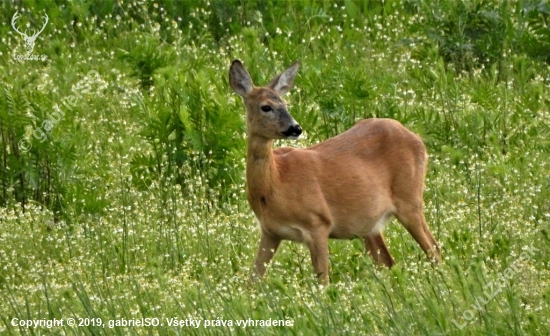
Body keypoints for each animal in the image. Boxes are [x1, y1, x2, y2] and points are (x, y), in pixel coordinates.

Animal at [230, 58, 444, 284]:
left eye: (286, 104)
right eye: (266, 107)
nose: (295, 128)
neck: (275, 184)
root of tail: (416, 137)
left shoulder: (318, 222)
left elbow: (323, 281)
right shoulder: (270, 231)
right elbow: (253, 280)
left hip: (410, 199)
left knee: (434, 248)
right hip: (369, 224)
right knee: (390, 262)